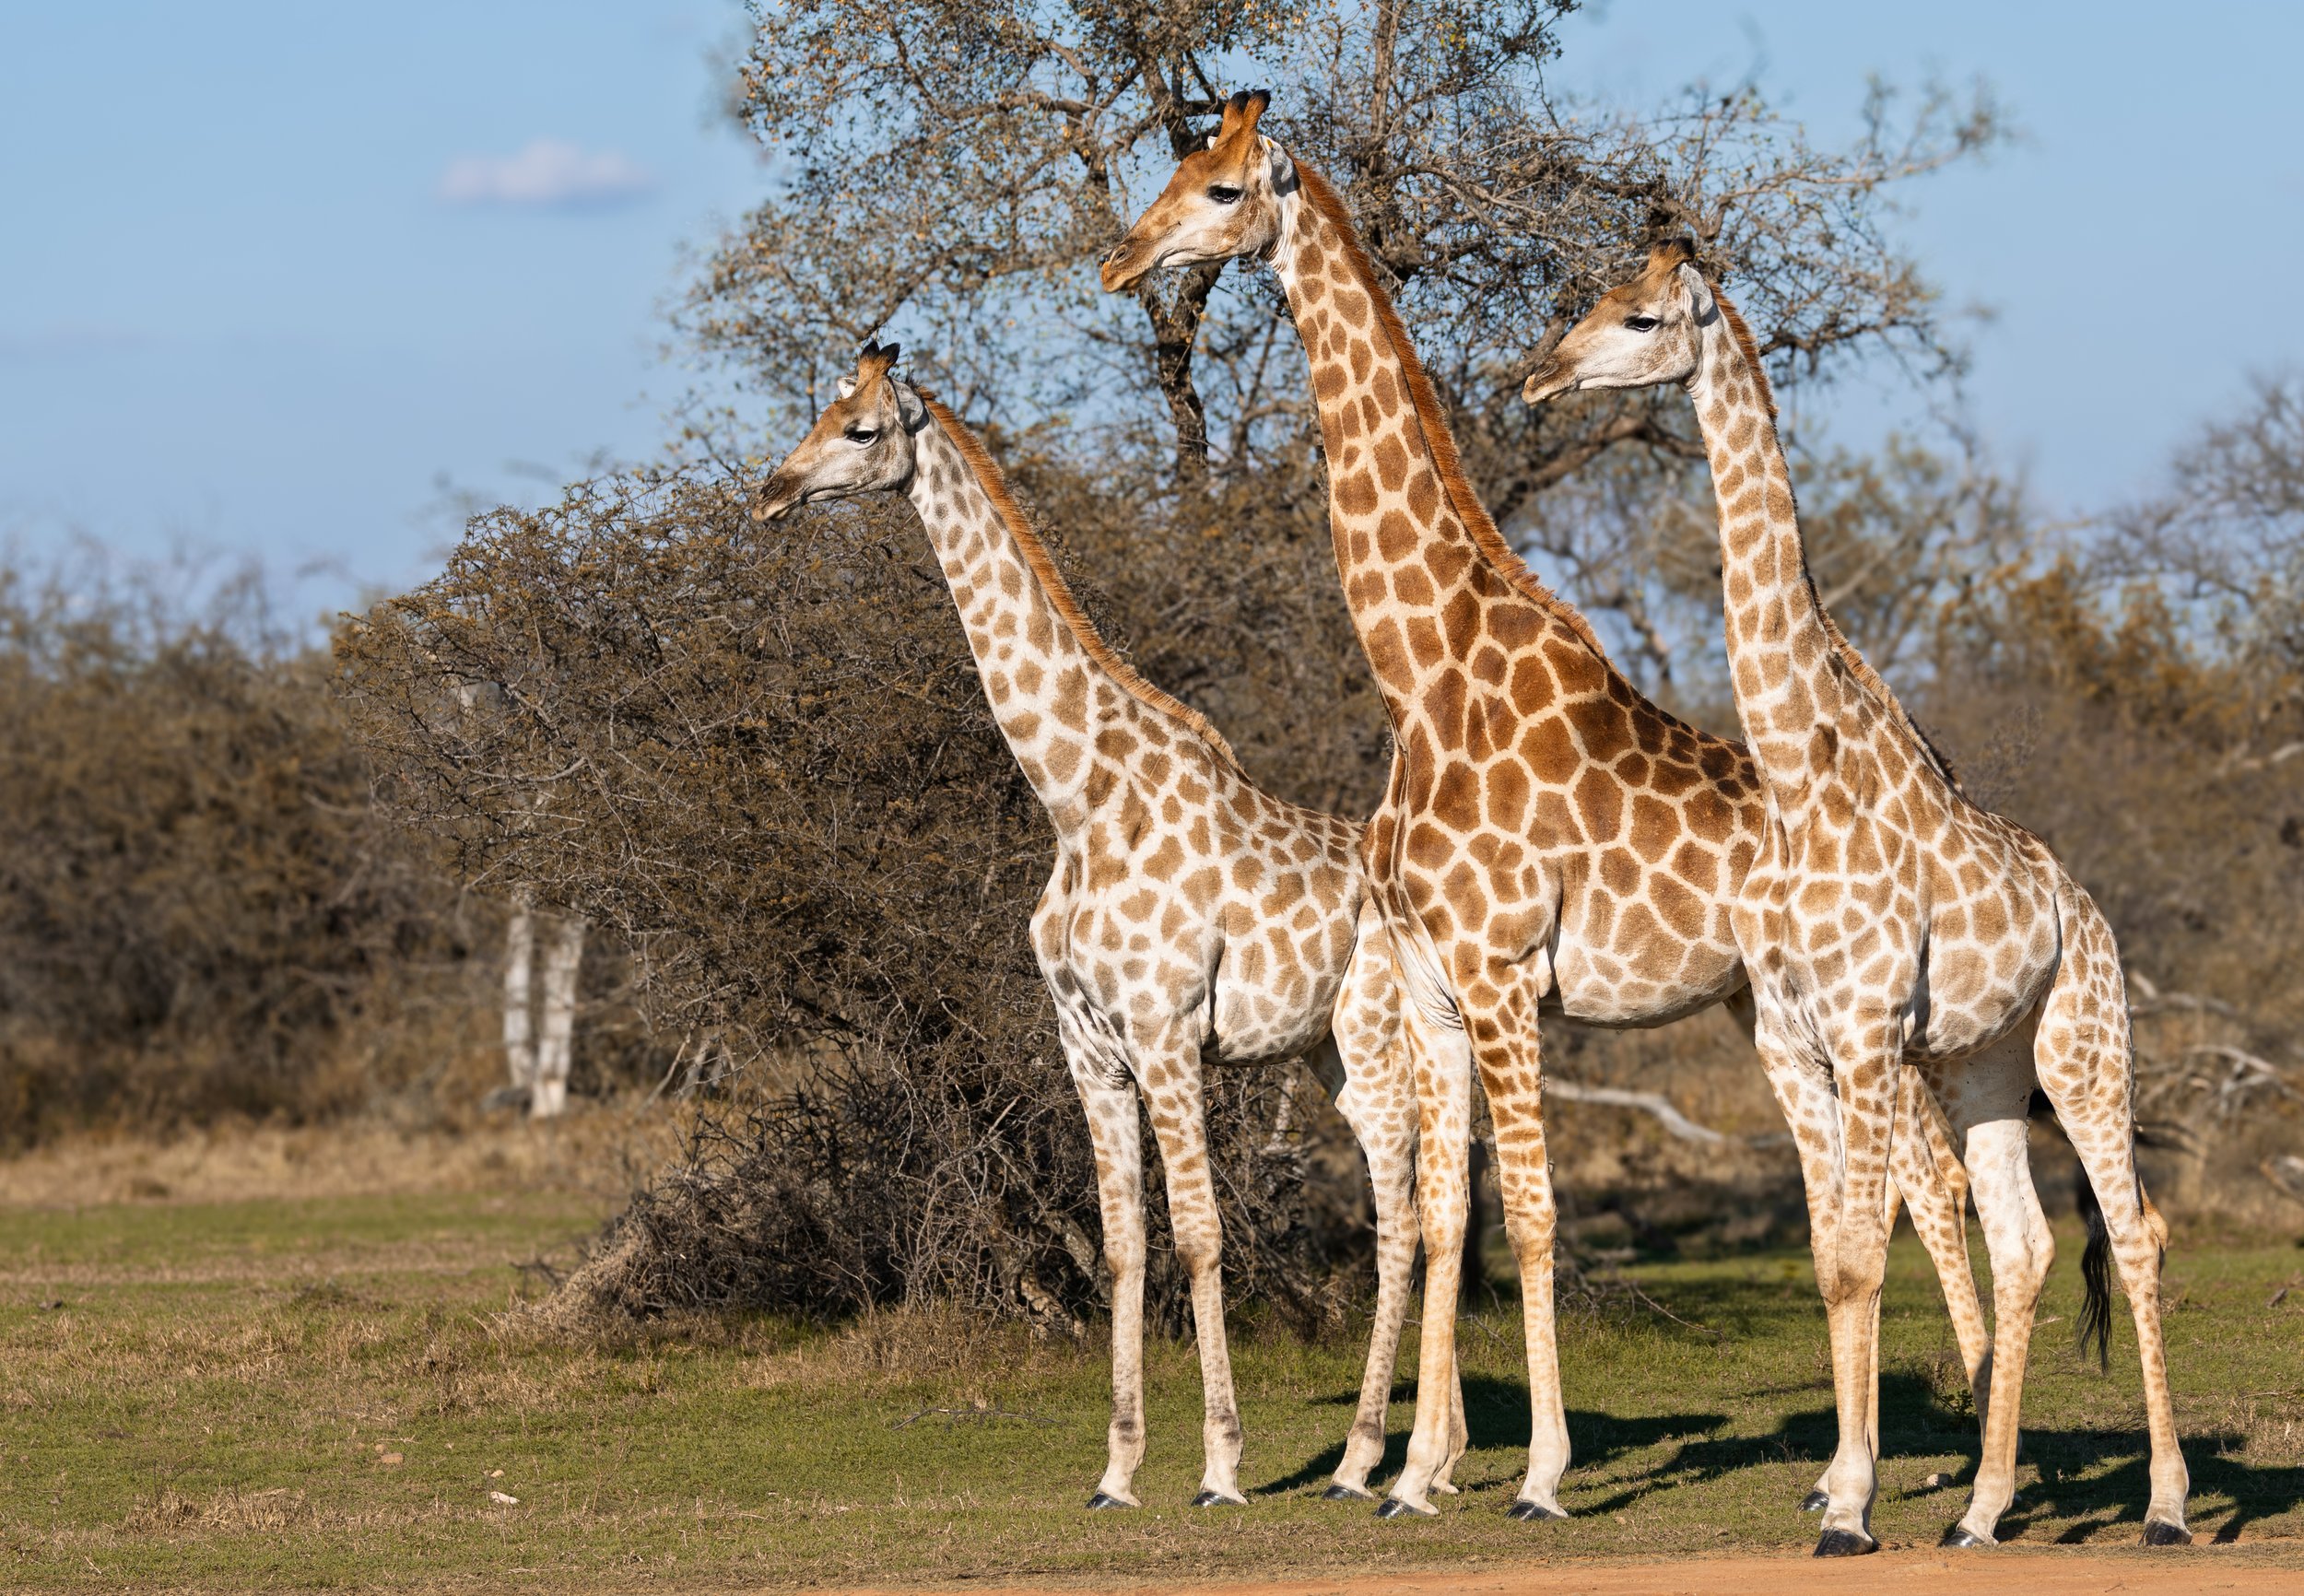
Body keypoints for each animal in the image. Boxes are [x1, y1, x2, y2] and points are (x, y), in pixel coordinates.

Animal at [752, 340, 1438, 1509]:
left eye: (860, 429)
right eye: (812, 413)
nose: (772, 491)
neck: (1077, 797)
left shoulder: (1165, 1034)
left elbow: (1201, 1239)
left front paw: (1220, 1465)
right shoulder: (1089, 1048)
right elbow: (1122, 1246)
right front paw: (1116, 1470)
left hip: (1375, 1034)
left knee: (1401, 1219)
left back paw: (1363, 1460)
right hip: (1351, 1052)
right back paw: (1417, 1459)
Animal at [1101, 91, 1991, 1524]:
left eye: (1224, 188)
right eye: (1173, 171)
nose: (1121, 261)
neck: (1421, 675)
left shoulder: (1505, 971)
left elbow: (1527, 1216)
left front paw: (1535, 1472)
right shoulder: (1429, 981)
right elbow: (1444, 1216)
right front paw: (1414, 1471)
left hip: (1856, 1011)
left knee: (1927, 1169)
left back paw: (1957, 1435)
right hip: (1760, 1009)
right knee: (1877, 1182)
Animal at [1525, 240, 2191, 1552]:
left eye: (1638, 319)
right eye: (1586, 304)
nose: (1537, 374)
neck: (1795, 775)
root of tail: (2090, 918)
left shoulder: (1869, 1029)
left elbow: (1862, 1258)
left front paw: (1849, 1508)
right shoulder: (1793, 1035)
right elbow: (1834, 1259)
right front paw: (1848, 1490)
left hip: (2086, 1052)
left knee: (2134, 1235)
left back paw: (2166, 1506)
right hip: (1984, 1066)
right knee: (2027, 1244)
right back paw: (1982, 1511)